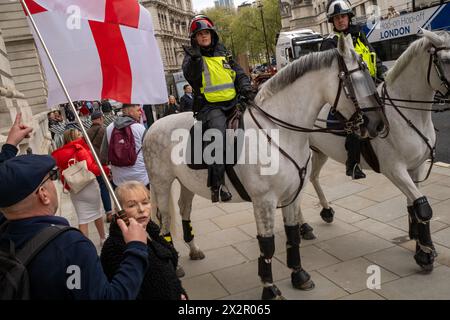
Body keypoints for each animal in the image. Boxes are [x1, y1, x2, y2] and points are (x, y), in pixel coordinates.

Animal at [144, 35, 386, 300]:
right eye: (353, 80)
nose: (378, 124)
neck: (279, 132)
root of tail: (154, 125)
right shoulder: (264, 200)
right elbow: (267, 244)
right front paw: (270, 288)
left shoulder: (292, 195)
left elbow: (292, 234)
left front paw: (299, 275)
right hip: (161, 183)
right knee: (165, 219)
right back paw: (173, 263)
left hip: (186, 182)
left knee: (184, 209)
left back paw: (193, 249)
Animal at [302, 29, 450, 272]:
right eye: (445, 60)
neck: (409, 114)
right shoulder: (394, 169)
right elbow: (422, 206)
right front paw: (425, 254)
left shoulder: (416, 167)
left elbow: (413, 204)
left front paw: (417, 238)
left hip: (320, 152)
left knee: (314, 177)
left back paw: (326, 210)